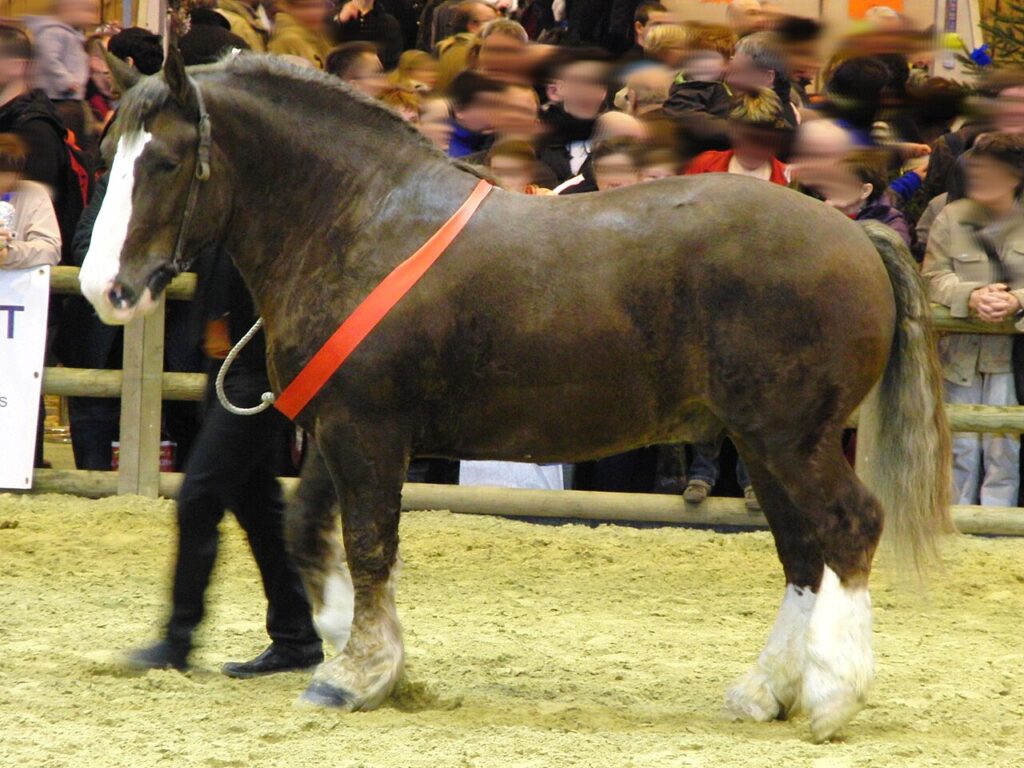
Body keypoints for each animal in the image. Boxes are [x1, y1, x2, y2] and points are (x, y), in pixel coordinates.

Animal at [80, 50, 952, 742]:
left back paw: (833, 698)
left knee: (849, 527)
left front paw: (354, 676)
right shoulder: (339, 427)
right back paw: (764, 693)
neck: (361, 223)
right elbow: (310, 534)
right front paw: (368, 658)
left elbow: (368, 544)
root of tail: (855, 234)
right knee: (803, 551)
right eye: (109, 151)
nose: (103, 288)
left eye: (164, 162)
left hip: (790, 438)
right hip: (765, 443)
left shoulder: (368, 430)